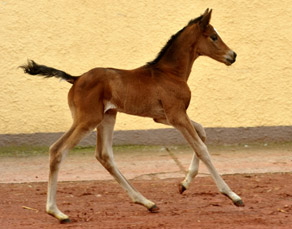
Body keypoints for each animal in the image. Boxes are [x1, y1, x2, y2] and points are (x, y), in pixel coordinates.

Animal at [20, 9, 243, 224]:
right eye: (213, 37)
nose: (232, 55)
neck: (169, 73)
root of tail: (75, 78)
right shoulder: (177, 115)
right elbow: (202, 148)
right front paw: (232, 195)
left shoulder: (164, 117)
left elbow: (202, 133)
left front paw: (184, 185)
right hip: (88, 120)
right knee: (58, 150)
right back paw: (57, 213)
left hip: (107, 117)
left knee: (104, 155)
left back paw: (146, 202)